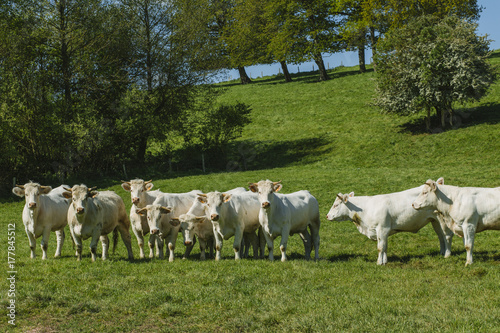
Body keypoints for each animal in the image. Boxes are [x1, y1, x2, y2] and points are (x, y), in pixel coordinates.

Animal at [326, 178, 456, 266]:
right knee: (440, 236)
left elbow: (380, 247)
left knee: (447, 236)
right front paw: (385, 261)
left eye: (336, 205)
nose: (327, 216)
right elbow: (384, 246)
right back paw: (441, 252)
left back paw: (447, 254)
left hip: (443, 220)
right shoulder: (382, 231)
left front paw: (379, 262)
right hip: (435, 221)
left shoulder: (382, 228)